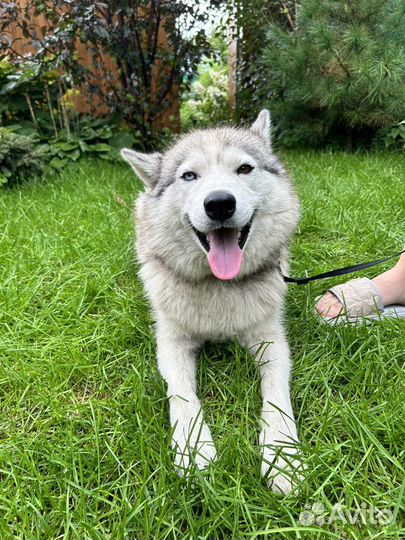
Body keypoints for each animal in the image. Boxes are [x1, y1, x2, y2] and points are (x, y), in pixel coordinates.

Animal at [120, 109, 300, 494]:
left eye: (244, 169)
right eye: (189, 175)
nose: (219, 203)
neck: (219, 285)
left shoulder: (271, 341)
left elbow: (277, 397)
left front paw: (284, 456)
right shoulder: (171, 343)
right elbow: (183, 396)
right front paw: (193, 449)